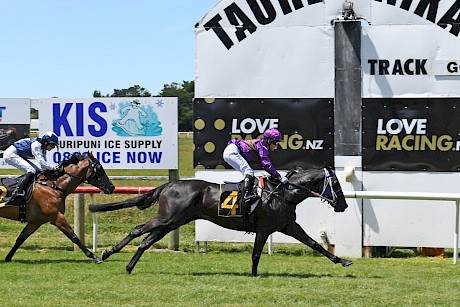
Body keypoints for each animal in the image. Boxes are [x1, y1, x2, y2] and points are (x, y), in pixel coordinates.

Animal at [90, 168, 352, 276]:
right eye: (336, 184)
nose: (343, 205)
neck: (283, 193)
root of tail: (169, 184)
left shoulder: (288, 226)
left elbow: (315, 244)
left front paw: (343, 261)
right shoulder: (265, 228)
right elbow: (256, 254)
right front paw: (254, 275)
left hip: (172, 222)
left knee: (146, 241)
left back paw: (128, 266)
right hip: (166, 218)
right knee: (138, 230)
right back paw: (106, 254)